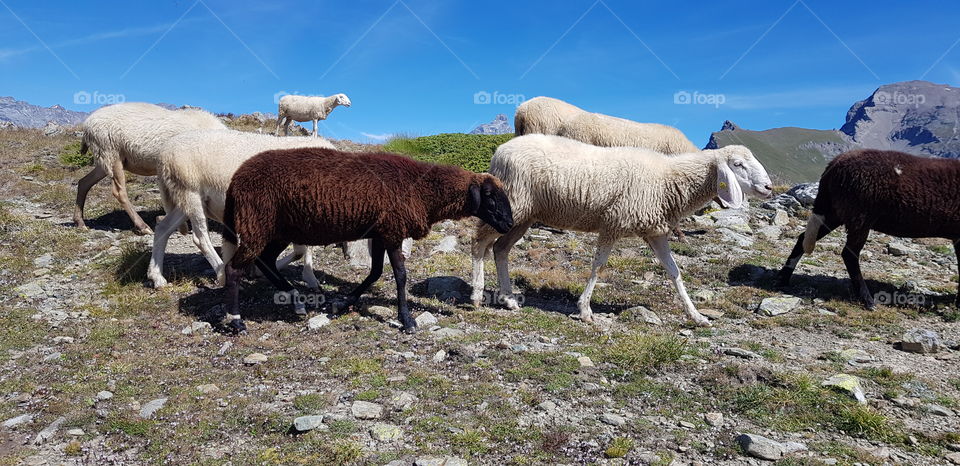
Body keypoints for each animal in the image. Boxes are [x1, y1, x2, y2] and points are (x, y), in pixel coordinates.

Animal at [73, 102, 227, 234]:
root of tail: (87, 124)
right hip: (111, 153)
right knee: (119, 191)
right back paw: (143, 226)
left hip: (104, 159)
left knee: (84, 182)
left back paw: (80, 223)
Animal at [146, 129, 336, 289]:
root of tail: (163, 153)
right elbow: (302, 250)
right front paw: (308, 278)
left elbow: (300, 251)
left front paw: (307, 277)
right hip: (190, 190)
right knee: (200, 238)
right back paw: (222, 275)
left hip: (186, 198)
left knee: (163, 228)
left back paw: (157, 277)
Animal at [221, 147, 514, 334]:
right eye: (489, 196)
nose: (509, 224)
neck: (424, 190)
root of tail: (236, 179)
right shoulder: (393, 231)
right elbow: (400, 275)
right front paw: (407, 320)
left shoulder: (381, 232)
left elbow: (375, 273)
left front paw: (342, 303)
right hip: (257, 223)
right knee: (234, 269)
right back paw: (236, 321)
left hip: (277, 230)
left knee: (266, 260)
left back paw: (295, 299)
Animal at [470, 134, 773, 326]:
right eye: (738, 165)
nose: (769, 187)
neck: (669, 179)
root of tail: (500, 151)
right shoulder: (613, 223)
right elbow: (598, 266)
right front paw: (585, 309)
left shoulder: (655, 231)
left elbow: (674, 272)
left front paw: (696, 315)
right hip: (512, 205)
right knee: (479, 243)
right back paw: (476, 295)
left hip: (523, 215)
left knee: (500, 249)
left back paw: (508, 298)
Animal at [777, 149, 960, 308]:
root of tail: (833, 165)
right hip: (860, 216)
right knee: (849, 254)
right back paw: (867, 300)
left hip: (835, 212)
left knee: (803, 238)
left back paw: (783, 279)